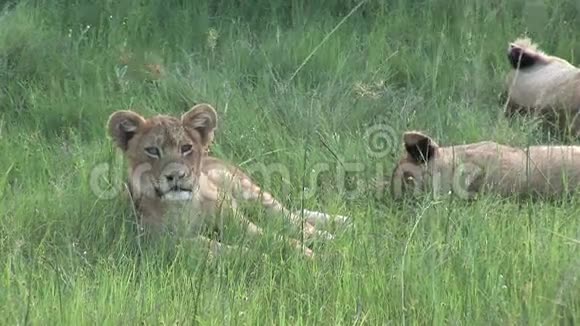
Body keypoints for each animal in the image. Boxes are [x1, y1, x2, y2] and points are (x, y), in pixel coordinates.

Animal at [107, 104, 348, 258]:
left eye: (186, 148)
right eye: (152, 151)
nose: (176, 175)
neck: (184, 207)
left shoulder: (239, 223)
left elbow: (274, 237)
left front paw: (305, 254)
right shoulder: (163, 242)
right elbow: (218, 248)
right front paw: (263, 258)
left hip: (248, 192)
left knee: (291, 218)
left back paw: (335, 233)